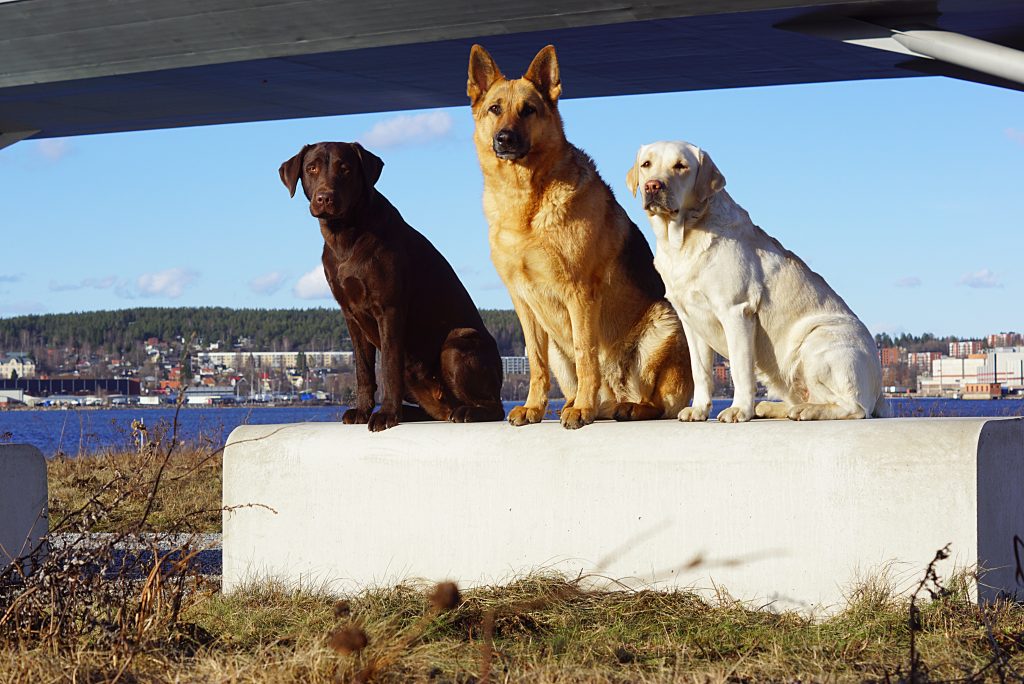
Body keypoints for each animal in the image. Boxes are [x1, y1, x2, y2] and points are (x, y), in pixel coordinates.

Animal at [280, 141, 503, 430]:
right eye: (311, 168)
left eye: (345, 168)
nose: (325, 198)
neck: (344, 237)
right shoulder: (352, 317)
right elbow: (364, 371)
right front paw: (363, 410)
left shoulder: (389, 309)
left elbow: (387, 366)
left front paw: (385, 414)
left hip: (457, 343)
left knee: (495, 406)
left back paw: (466, 411)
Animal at [466, 44, 692, 428]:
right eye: (495, 108)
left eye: (528, 110)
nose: (505, 138)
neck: (525, 202)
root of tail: (615, 396)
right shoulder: (523, 302)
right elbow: (536, 364)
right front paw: (534, 407)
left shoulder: (580, 292)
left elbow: (587, 353)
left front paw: (581, 410)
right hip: (560, 351)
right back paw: (576, 403)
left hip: (664, 323)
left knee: (657, 402)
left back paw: (621, 407)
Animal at [626, 140, 884, 421]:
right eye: (646, 164)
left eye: (680, 166)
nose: (653, 185)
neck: (683, 239)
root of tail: (879, 388)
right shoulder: (691, 322)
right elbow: (700, 373)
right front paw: (698, 410)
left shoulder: (736, 311)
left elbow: (740, 370)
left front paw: (739, 409)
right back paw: (774, 407)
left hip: (817, 340)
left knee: (855, 407)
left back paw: (804, 410)